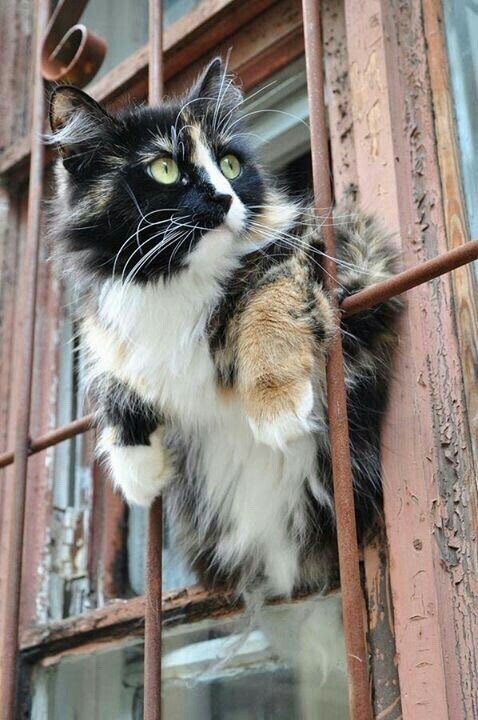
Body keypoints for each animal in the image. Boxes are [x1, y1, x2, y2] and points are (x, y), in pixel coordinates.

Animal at [47, 57, 400, 596]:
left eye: (230, 165)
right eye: (165, 168)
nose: (224, 198)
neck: (180, 281)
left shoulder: (351, 254)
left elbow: (269, 296)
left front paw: (276, 405)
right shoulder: (104, 328)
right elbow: (110, 375)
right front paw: (138, 470)